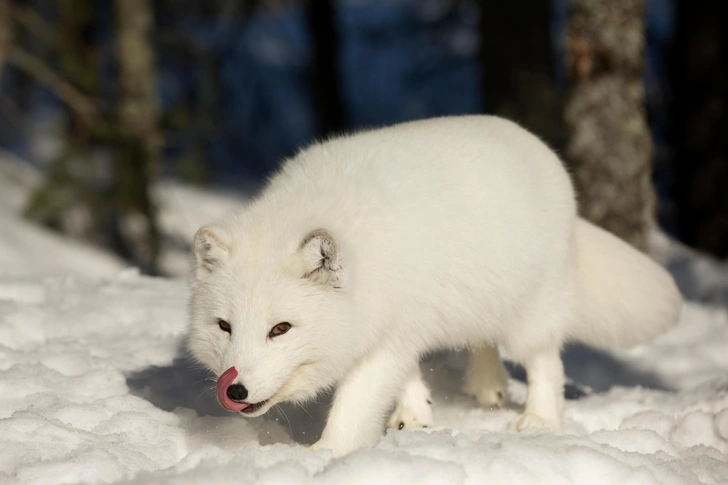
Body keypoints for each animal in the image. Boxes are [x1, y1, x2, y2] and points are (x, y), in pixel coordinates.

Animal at [188, 115, 684, 456]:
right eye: (224, 327)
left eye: (280, 329)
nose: (235, 391)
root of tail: (537, 146)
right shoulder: (400, 323)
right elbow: (406, 376)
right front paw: (414, 417)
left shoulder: (385, 338)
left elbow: (353, 408)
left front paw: (324, 456)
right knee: (482, 339)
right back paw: (485, 384)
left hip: (532, 312)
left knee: (547, 362)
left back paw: (539, 419)